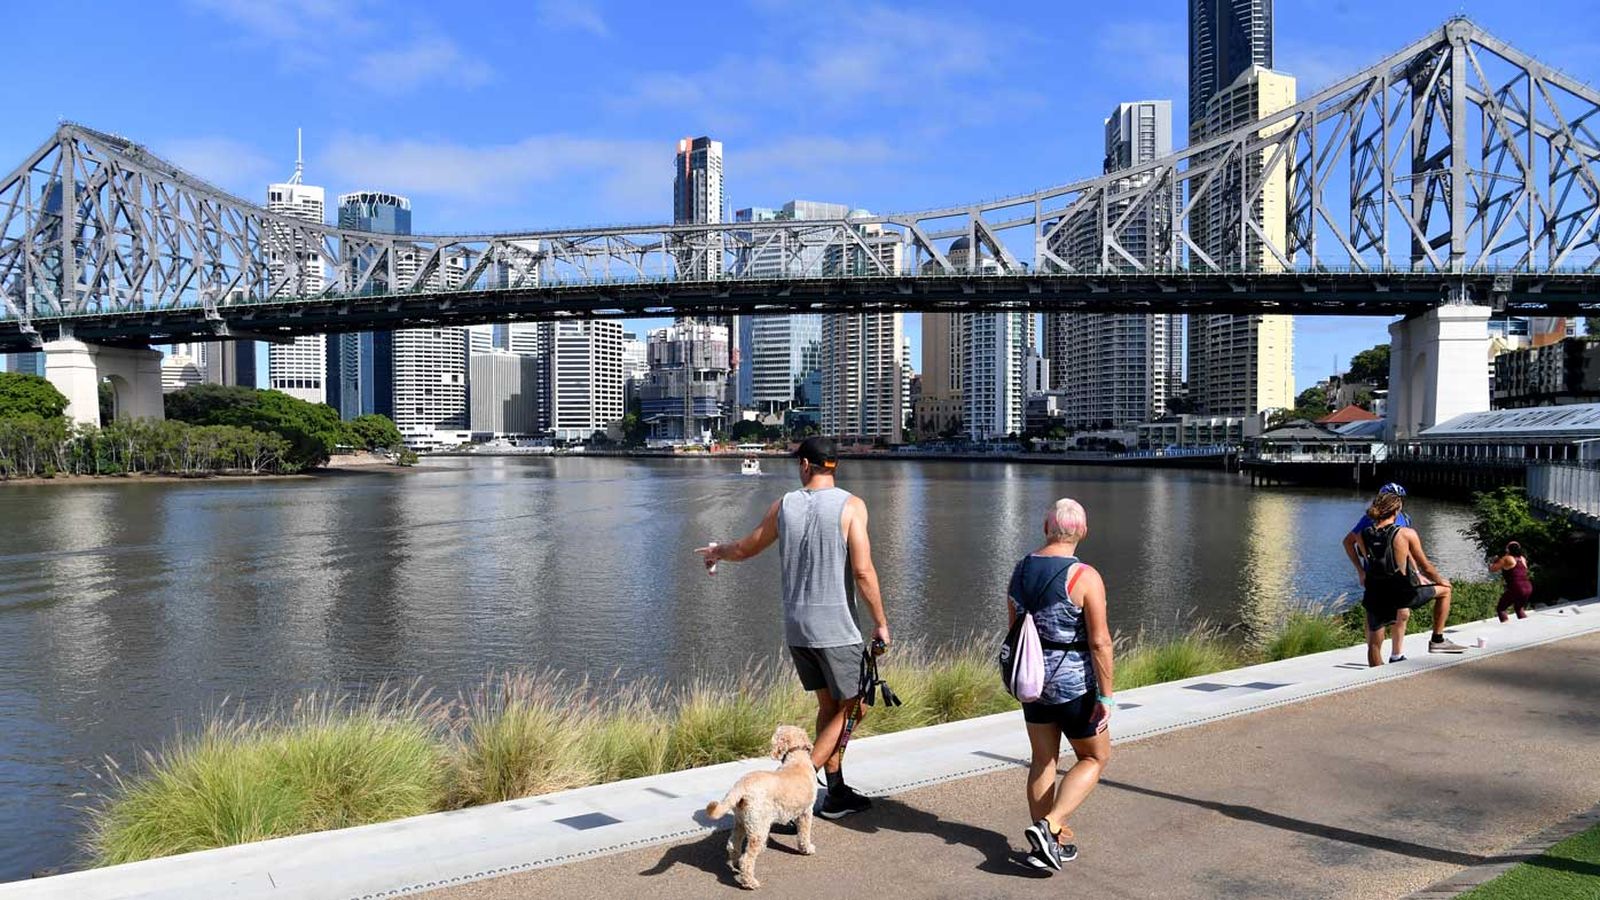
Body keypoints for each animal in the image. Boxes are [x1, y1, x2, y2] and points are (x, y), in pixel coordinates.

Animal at [707, 720, 819, 883]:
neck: (796, 758)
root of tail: (741, 785)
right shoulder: (806, 812)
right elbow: (804, 834)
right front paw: (807, 849)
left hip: (741, 821)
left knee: (733, 845)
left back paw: (736, 864)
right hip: (758, 826)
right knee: (747, 859)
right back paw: (750, 882)